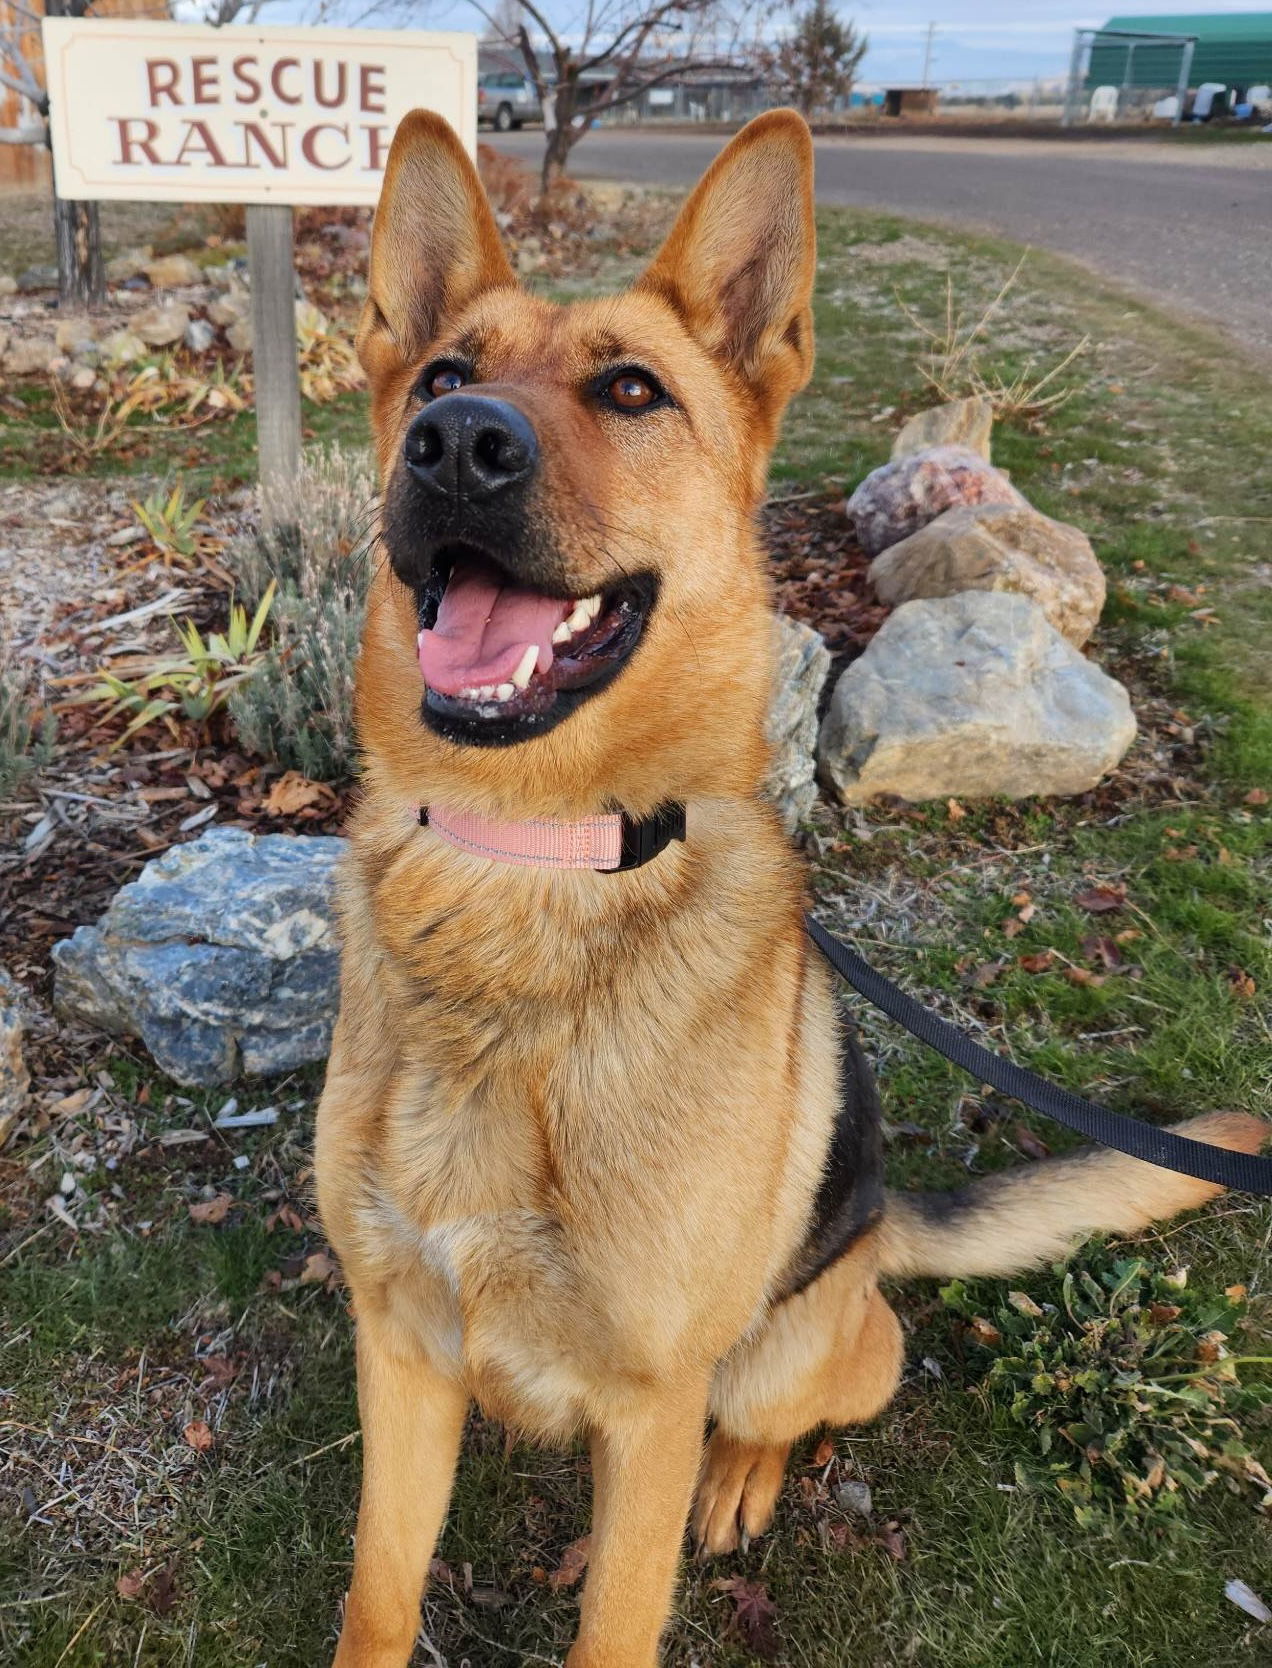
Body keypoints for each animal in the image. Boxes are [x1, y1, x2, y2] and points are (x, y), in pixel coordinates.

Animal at [316, 110, 1266, 1661]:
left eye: (632, 391)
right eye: (444, 376)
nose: (453, 443)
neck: (531, 864)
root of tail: (879, 1230)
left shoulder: (648, 1415)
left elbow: (618, 1617)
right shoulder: (398, 1351)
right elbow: (379, 1598)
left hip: (784, 1352)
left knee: (798, 1407)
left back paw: (745, 1478)